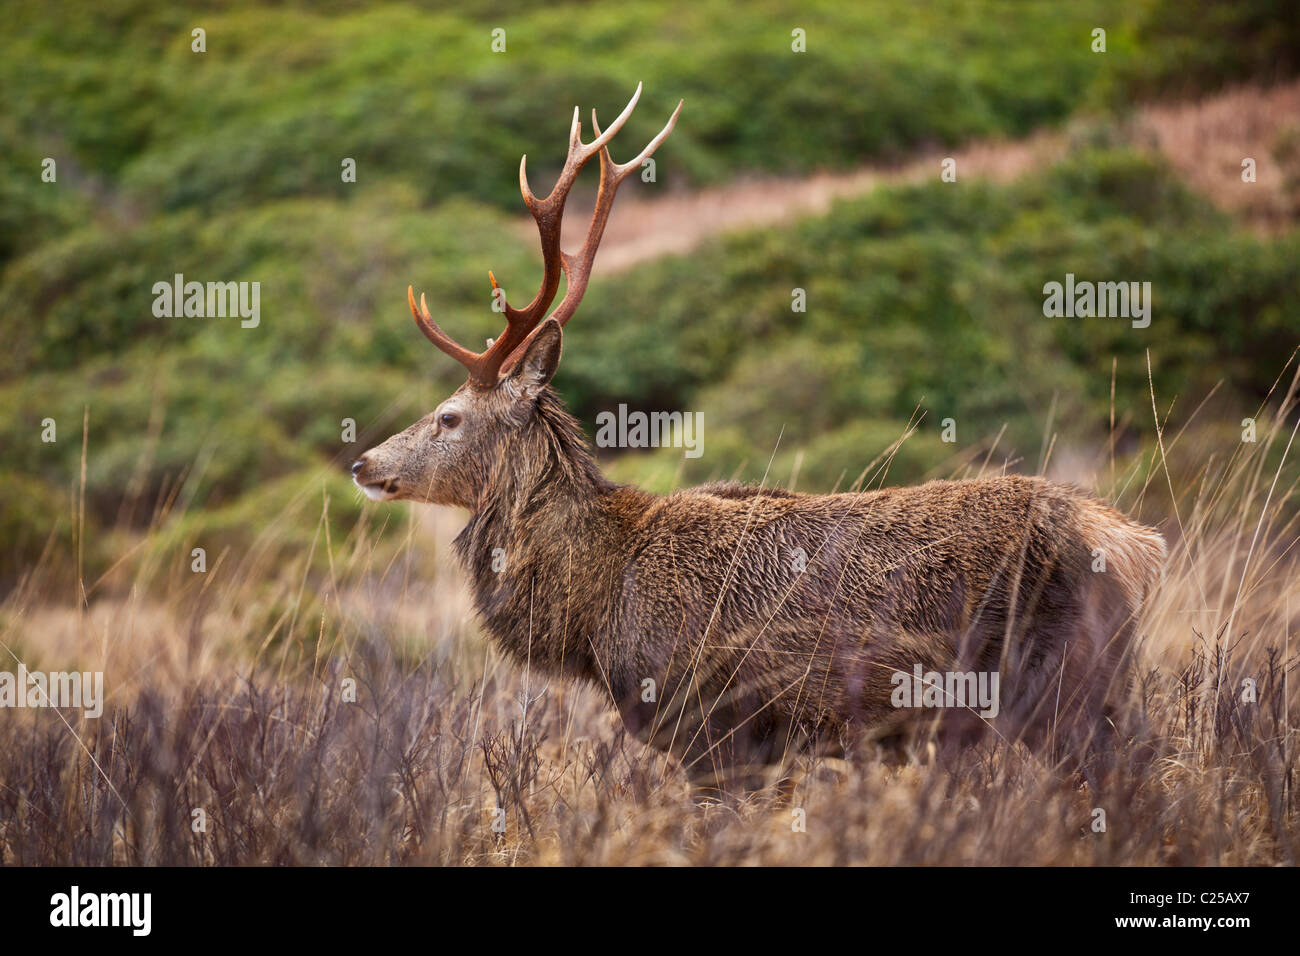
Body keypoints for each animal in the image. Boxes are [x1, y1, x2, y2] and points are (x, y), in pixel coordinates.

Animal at [351, 85, 1167, 791]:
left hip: (1057, 685)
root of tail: (1133, 543)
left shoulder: (717, 732)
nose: (362, 461)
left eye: (449, 416)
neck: (595, 611)